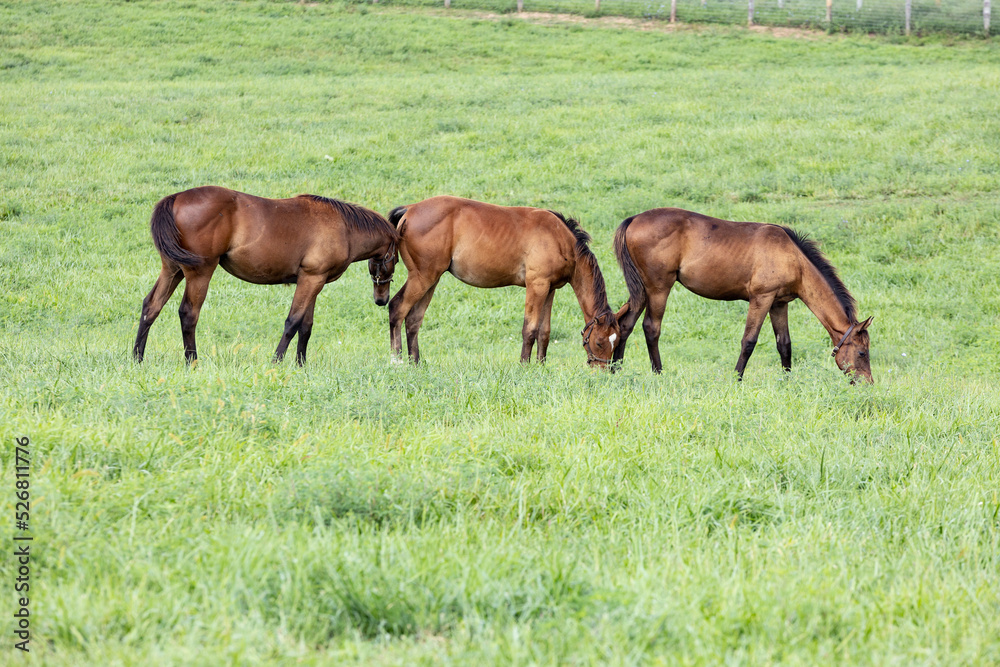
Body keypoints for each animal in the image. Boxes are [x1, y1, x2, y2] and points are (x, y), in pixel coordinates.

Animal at [133, 187, 398, 366]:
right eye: (395, 259)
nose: (381, 300)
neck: (344, 227)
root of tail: (176, 197)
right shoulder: (311, 279)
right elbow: (293, 322)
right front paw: (277, 361)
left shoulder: (314, 280)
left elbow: (306, 326)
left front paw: (301, 366)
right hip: (200, 273)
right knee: (188, 313)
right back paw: (192, 362)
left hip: (172, 270)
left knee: (151, 306)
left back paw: (137, 357)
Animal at [386, 196, 620, 368]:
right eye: (599, 342)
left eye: (616, 341)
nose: (603, 370)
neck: (559, 238)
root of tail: (409, 209)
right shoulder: (537, 286)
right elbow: (530, 329)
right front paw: (524, 366)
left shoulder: (550, 289)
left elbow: (544, 332)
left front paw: (541, 366)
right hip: (422, 277)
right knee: (397, 308)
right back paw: (397, 361)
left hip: (431, 280)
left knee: (413, 319)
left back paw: (415, 363)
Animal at [608, 209, 876, 386]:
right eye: (863, 353)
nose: (868, 384)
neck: (793, 258)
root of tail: (634, 219)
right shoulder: (761, 299)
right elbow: (749, 341)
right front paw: (736, 380)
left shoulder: (778, 304)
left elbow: (785, 344)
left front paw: (787, 381)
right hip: (658, 289)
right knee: (651, 328)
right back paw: (658, 374)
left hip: (641, 290)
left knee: (625, 324)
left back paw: (615, 371)